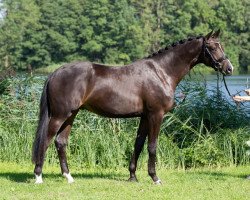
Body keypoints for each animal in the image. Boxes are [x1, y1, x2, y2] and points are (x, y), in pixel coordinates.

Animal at [32, 30, 233, 184]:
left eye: (221, 46)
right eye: (212, 47)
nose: (229, 68)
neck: (161, 72)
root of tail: (56, 72)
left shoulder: (144, 116)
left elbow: (138, 144)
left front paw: (132, 176)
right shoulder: (156, 115)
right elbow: (152, 146)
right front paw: (155, 178)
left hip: (71, 115)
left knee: (60, 142)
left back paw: (68, 177)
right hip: (59, 115)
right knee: (46, 141)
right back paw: (39, 176)